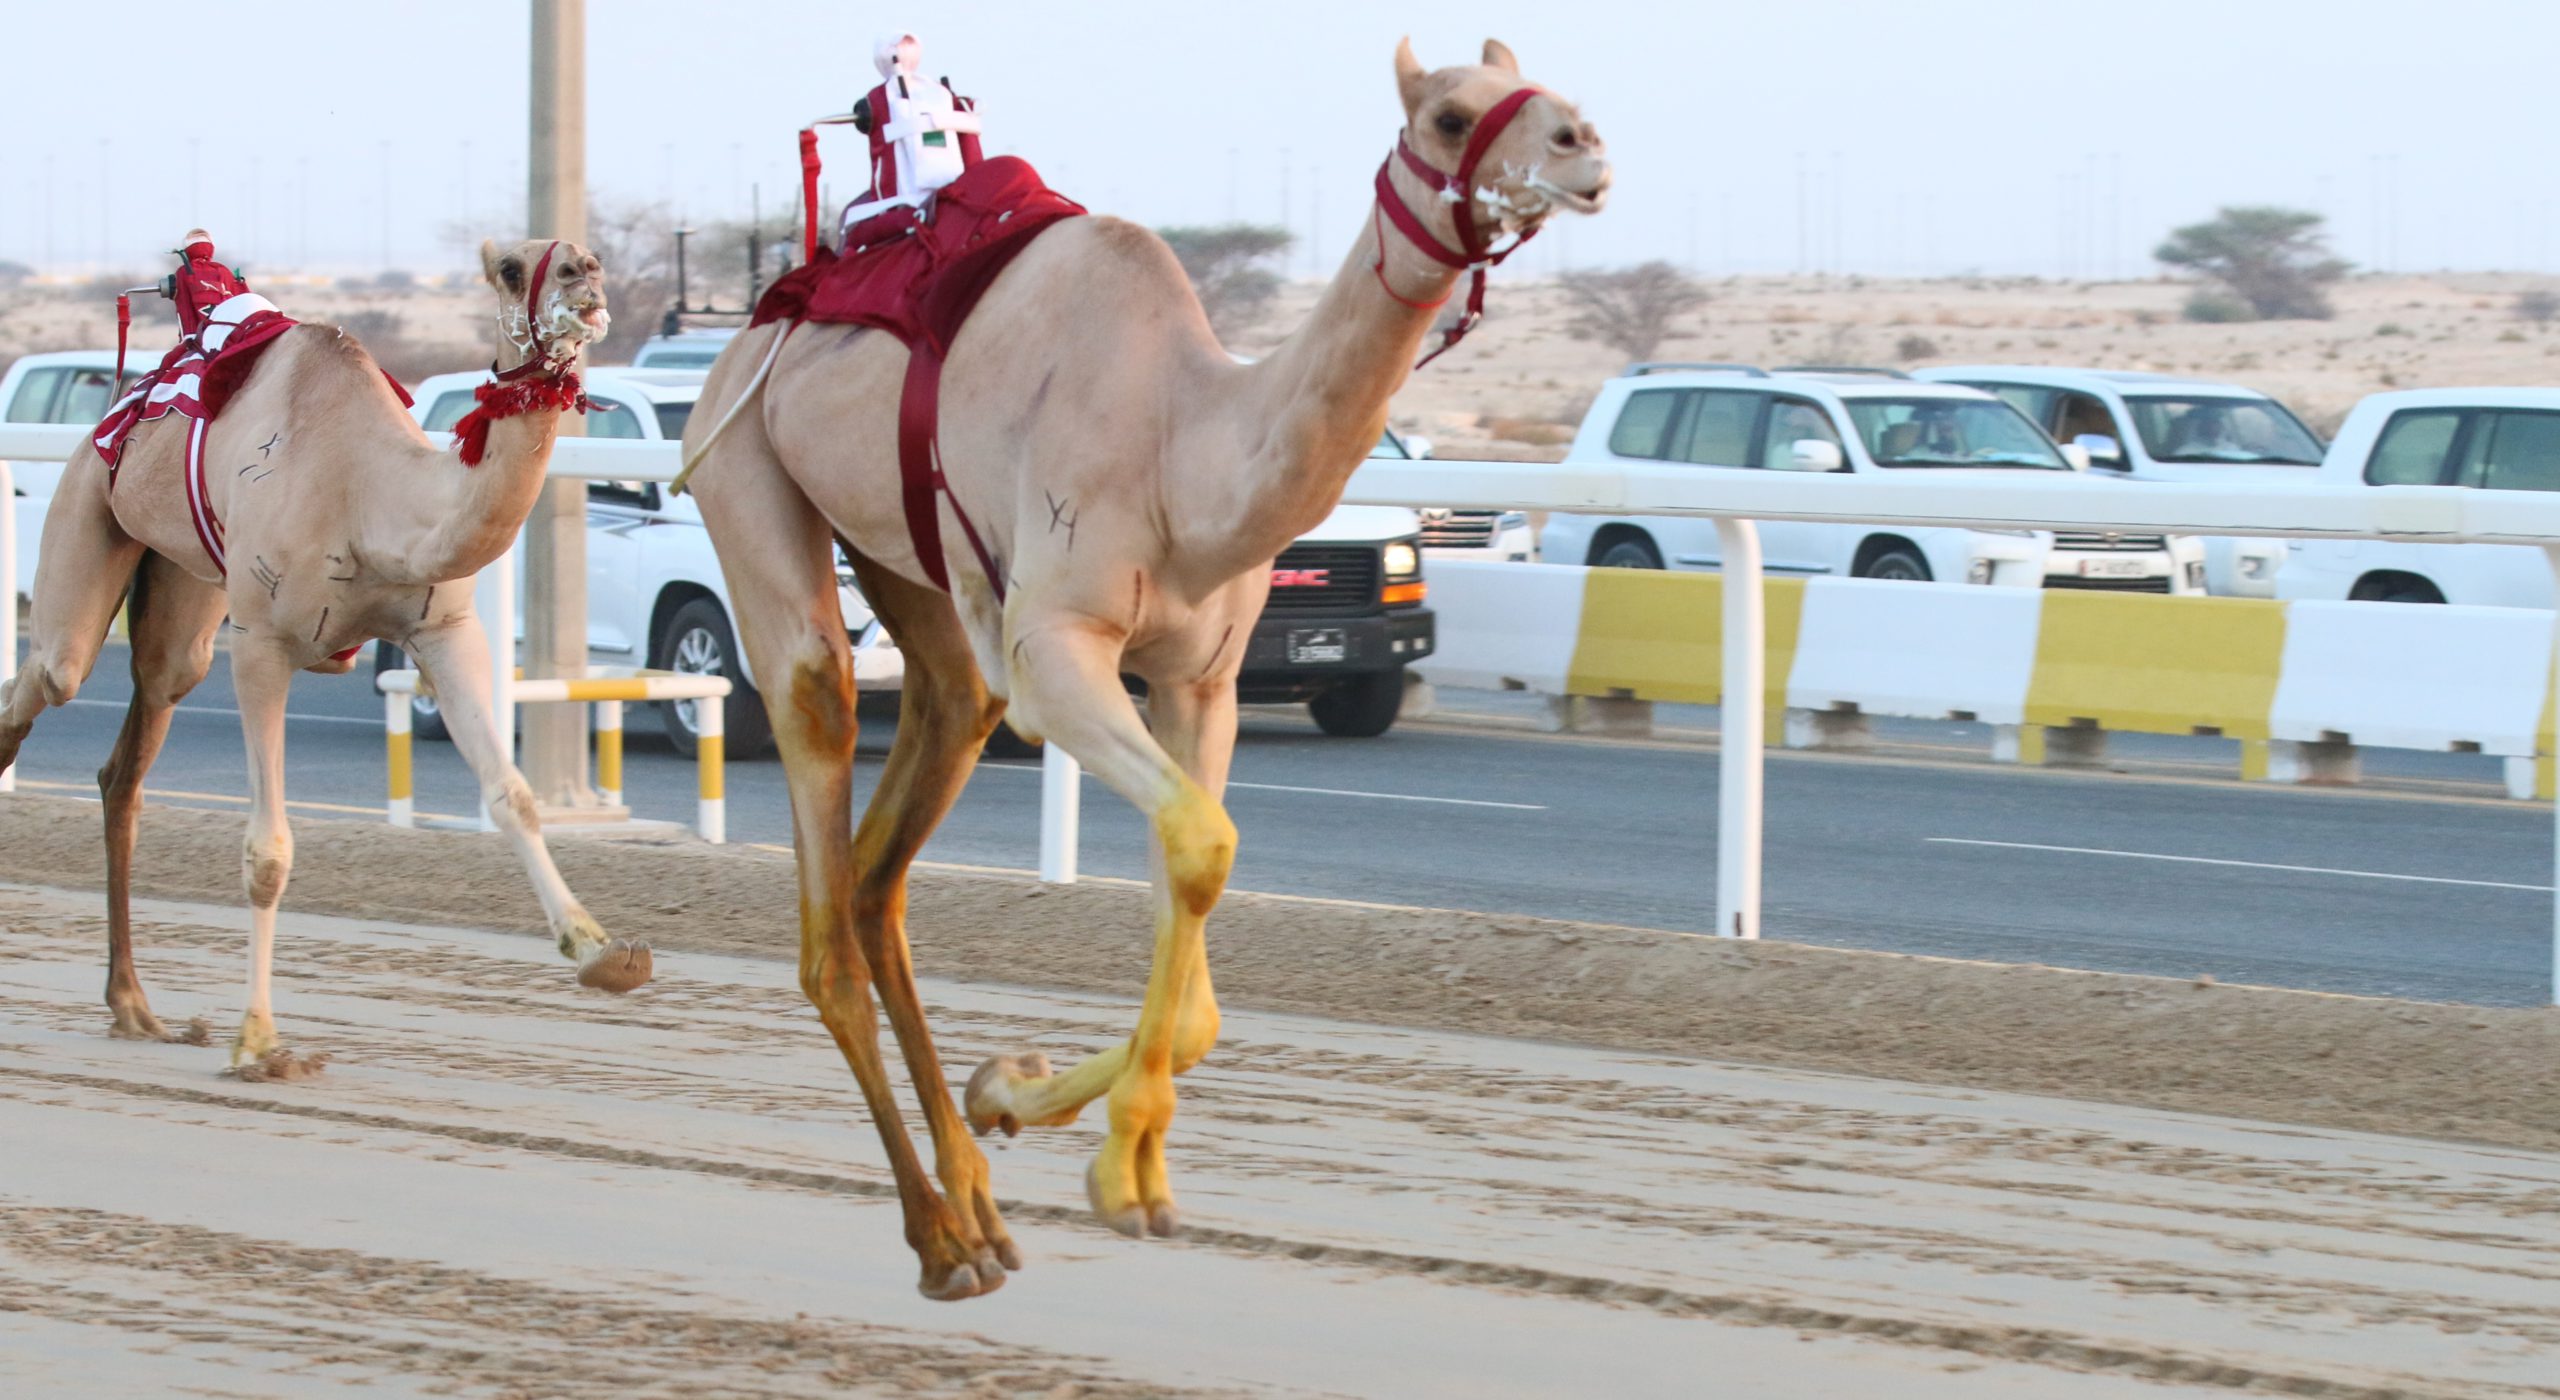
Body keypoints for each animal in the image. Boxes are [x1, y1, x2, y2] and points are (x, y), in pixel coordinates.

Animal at [0, 238, 650, 1074]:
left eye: (589, 254)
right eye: (511, 267)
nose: (583, 274)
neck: (370, 497)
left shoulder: (446, 628)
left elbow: (513, 793)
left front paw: (604, 954)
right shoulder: (262, 643)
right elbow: (268, 850)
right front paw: (260, 1043)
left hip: (183, 598)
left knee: (131, 755)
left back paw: (136, 1008)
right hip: (90, 514)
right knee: (54, 670)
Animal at [680, 35, 1597, 1305]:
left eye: (1538, 87)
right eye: (1451, 115)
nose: (1583, 146)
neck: (1183, 451)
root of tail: (744, 335)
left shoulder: (1198, 679)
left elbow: (1194, 885)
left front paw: (1016, 1093)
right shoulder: (1056, 652)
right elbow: (1202, 841)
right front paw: (1119, 1171)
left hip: (918, 581)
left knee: (888, 854)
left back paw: (978, 1206)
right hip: (746, 473)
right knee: (822, 830)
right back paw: (940, 1239)